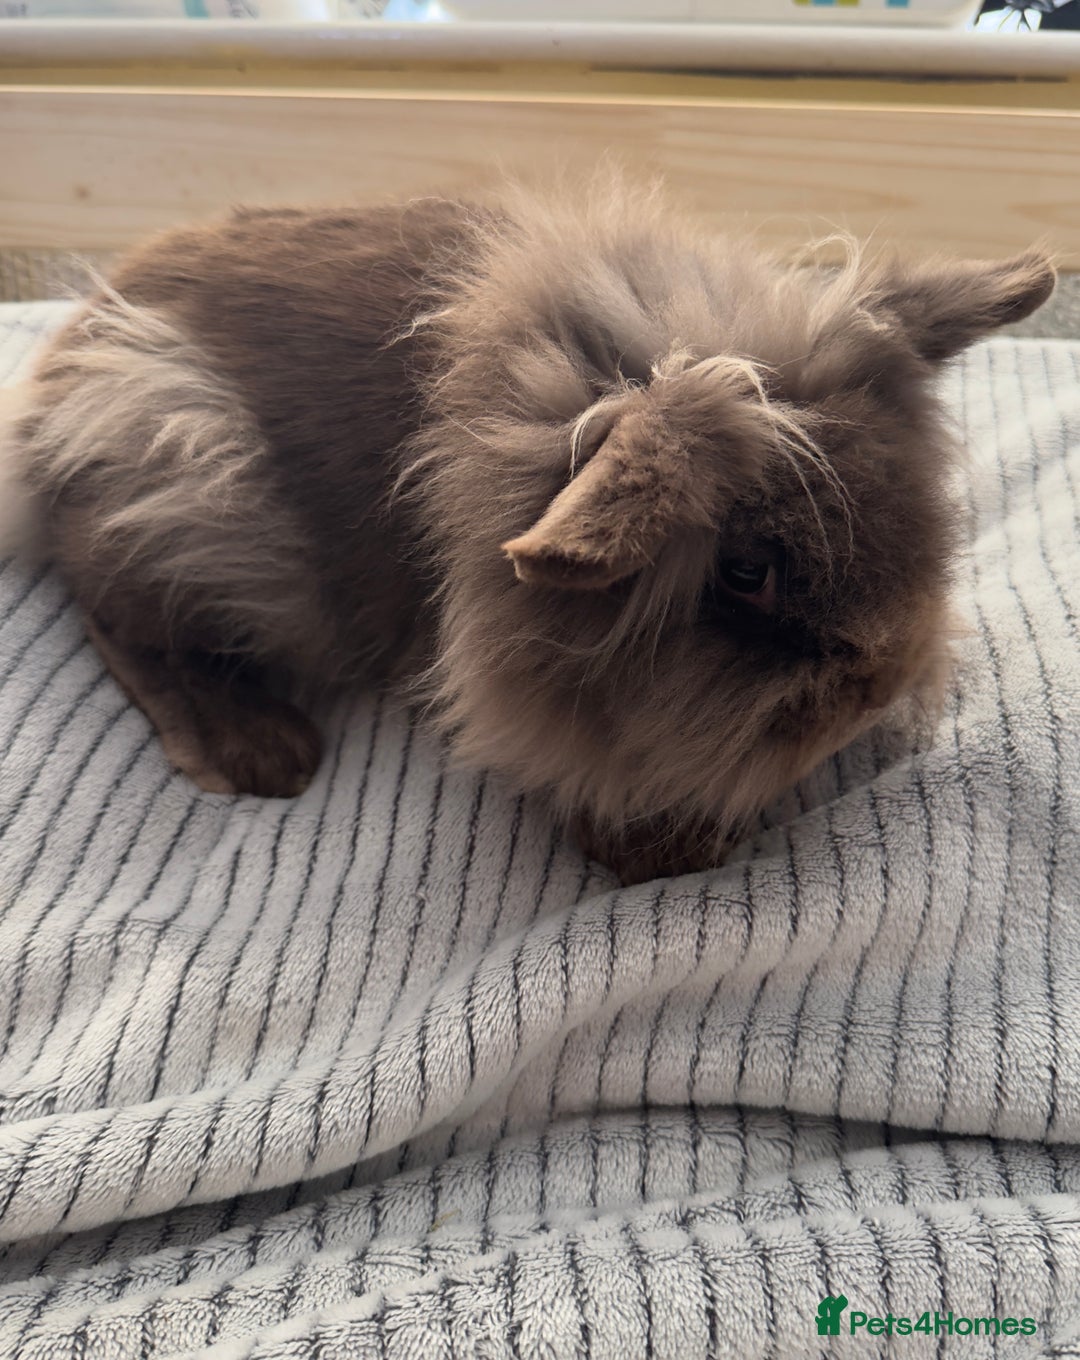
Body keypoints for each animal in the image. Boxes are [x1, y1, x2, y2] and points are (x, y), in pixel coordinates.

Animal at [0, 174, 1055, 885]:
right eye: (747, 571)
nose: (879, 691)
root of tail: (58, 378)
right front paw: (668, 855)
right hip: (188, 484)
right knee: (118, 617)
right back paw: (264, 755)